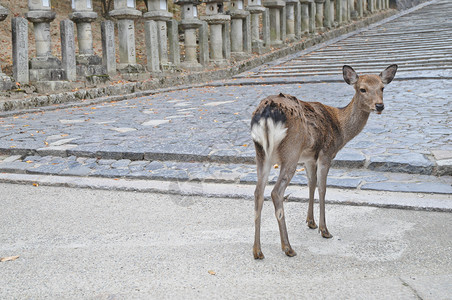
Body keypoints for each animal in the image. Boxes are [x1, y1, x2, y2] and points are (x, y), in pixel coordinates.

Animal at [252, 63, 398, 258]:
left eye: (382, 87)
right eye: (362, 89)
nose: (380, 105)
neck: (340, 128)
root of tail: (267, 112)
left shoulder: (308, 158)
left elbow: (311, 184)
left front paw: (311, 222)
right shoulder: (326, 153)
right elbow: (322, 188)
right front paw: (324, 230)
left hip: (261, 154)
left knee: (258, 192)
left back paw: (257, 251)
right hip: (290, 152)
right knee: (276, 192)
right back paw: (288, 248)